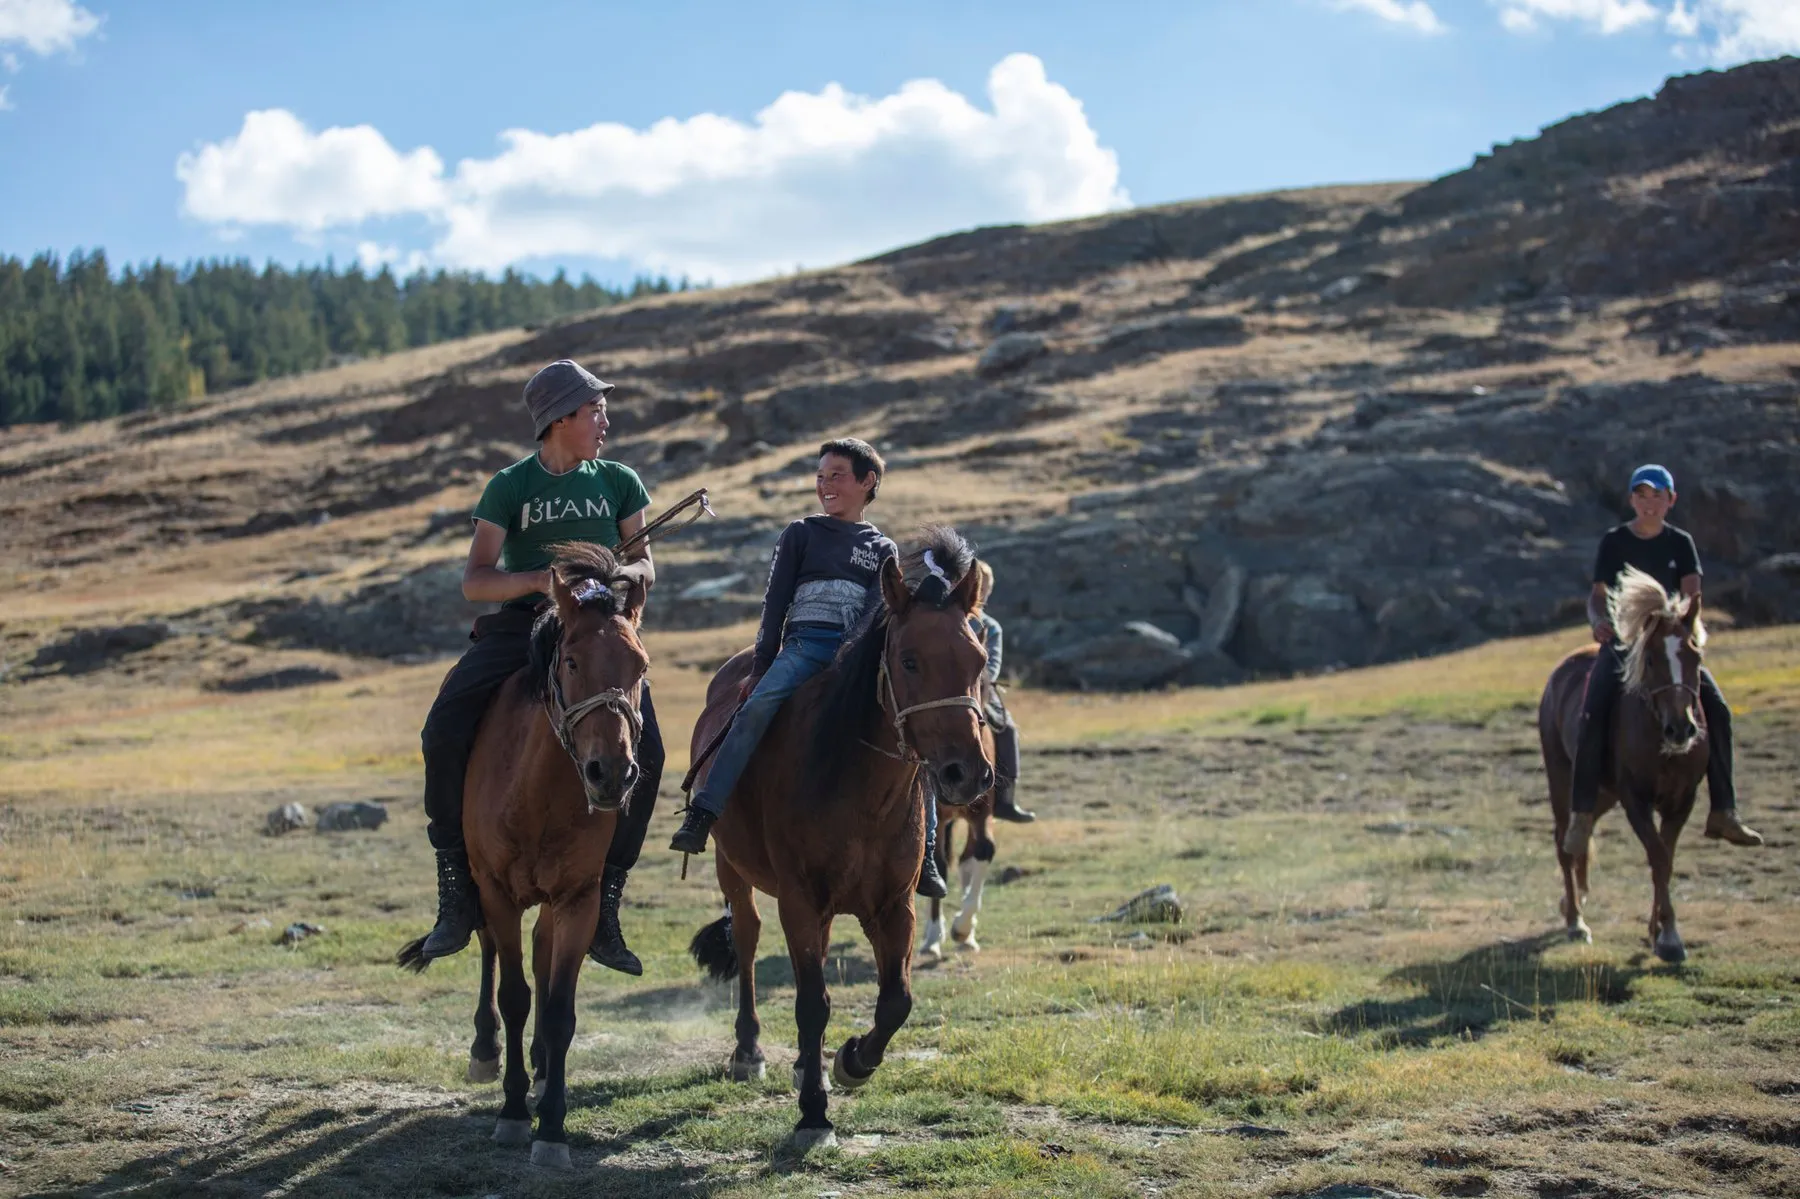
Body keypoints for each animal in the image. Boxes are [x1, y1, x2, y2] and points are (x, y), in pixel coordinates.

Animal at [397, 543, 650, 1170]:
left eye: (640, 668)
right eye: (573, 663)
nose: (611, 775)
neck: (539, 791)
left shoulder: (578, 897)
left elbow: (559, 1010)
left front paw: (552, 1127)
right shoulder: (497, 890)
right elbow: (514, 995)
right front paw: (513, 1116)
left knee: (541, 957)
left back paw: (537, 1071)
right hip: (484, 888)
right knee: (488, 950)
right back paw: (487, 1051)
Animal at [919, 793, 995, 961]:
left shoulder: (981, 806)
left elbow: (985, 849)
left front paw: (963, 930)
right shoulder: (937, 813)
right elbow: (938, 866)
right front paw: (933, 938)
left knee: (965, 859)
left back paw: (968, 939)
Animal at [1539, 565, 1708, 964]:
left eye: (1695, 658)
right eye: (1651, 659)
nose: (1681, 729)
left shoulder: (1683, 800)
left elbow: (1665, 859)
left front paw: (1658, 931)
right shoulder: (1635, 799)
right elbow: (1658, 857)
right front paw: (1670, 937)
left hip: (1602, 792)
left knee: (1582, 834)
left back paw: (1574, 902)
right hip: (1564, 779)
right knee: (1564, 842)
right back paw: (1576, 920)